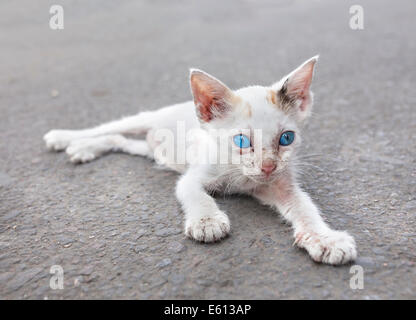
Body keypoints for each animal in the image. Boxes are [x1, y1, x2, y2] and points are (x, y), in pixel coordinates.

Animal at [44, 57, 358, 264]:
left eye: (286, 138)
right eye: (241, 141)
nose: (269, 166)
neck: (241, 176)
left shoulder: (280, 185)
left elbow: (305, 207)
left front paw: (324, 238)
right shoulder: (192, 177)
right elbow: (197, 194)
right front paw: (207, 222)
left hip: (153, 150)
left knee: (118, 140)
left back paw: (85, 149)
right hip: (144, 120)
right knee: (108, 128)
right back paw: (66, 138)